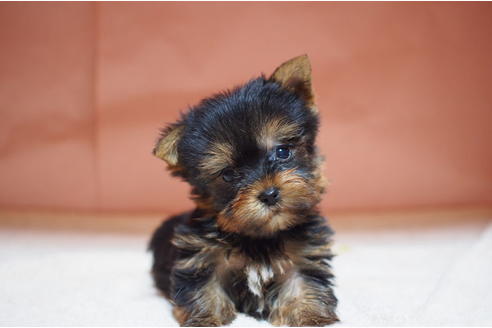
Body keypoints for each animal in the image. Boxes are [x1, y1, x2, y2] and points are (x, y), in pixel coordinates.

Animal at [148, 54, 336, 326]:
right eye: (228, 175)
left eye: (282, 152)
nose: (269, 194)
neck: (260, 237)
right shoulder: (201, 256)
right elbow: (203, 290)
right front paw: (206, 320)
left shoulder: (303, 254)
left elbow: (305, 285)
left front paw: (311, 317)